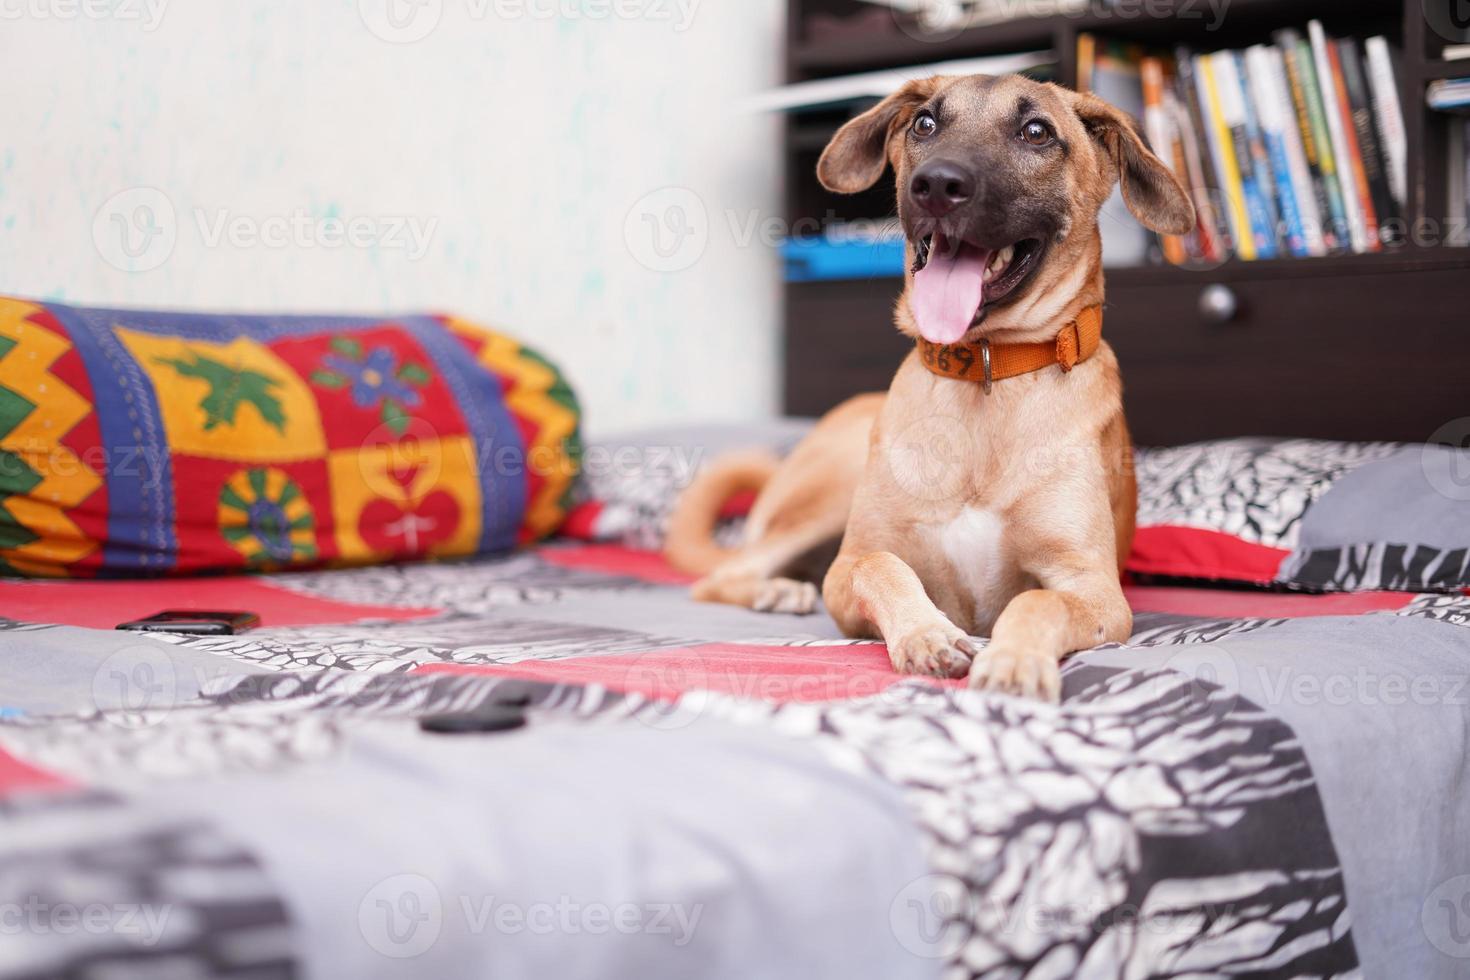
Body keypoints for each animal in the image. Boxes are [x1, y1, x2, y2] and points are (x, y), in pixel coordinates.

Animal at [667, 78, 1193, 705]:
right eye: (924, 124)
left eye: (1036, 132)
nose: (937, 184)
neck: (985, 372)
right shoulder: (847, 570)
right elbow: (880, 567)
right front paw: (927, 635)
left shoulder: (1097, 590)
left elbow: (1035, 599)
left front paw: (1013, 661)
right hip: (830, 490)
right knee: (724, 575)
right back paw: (776, 590)